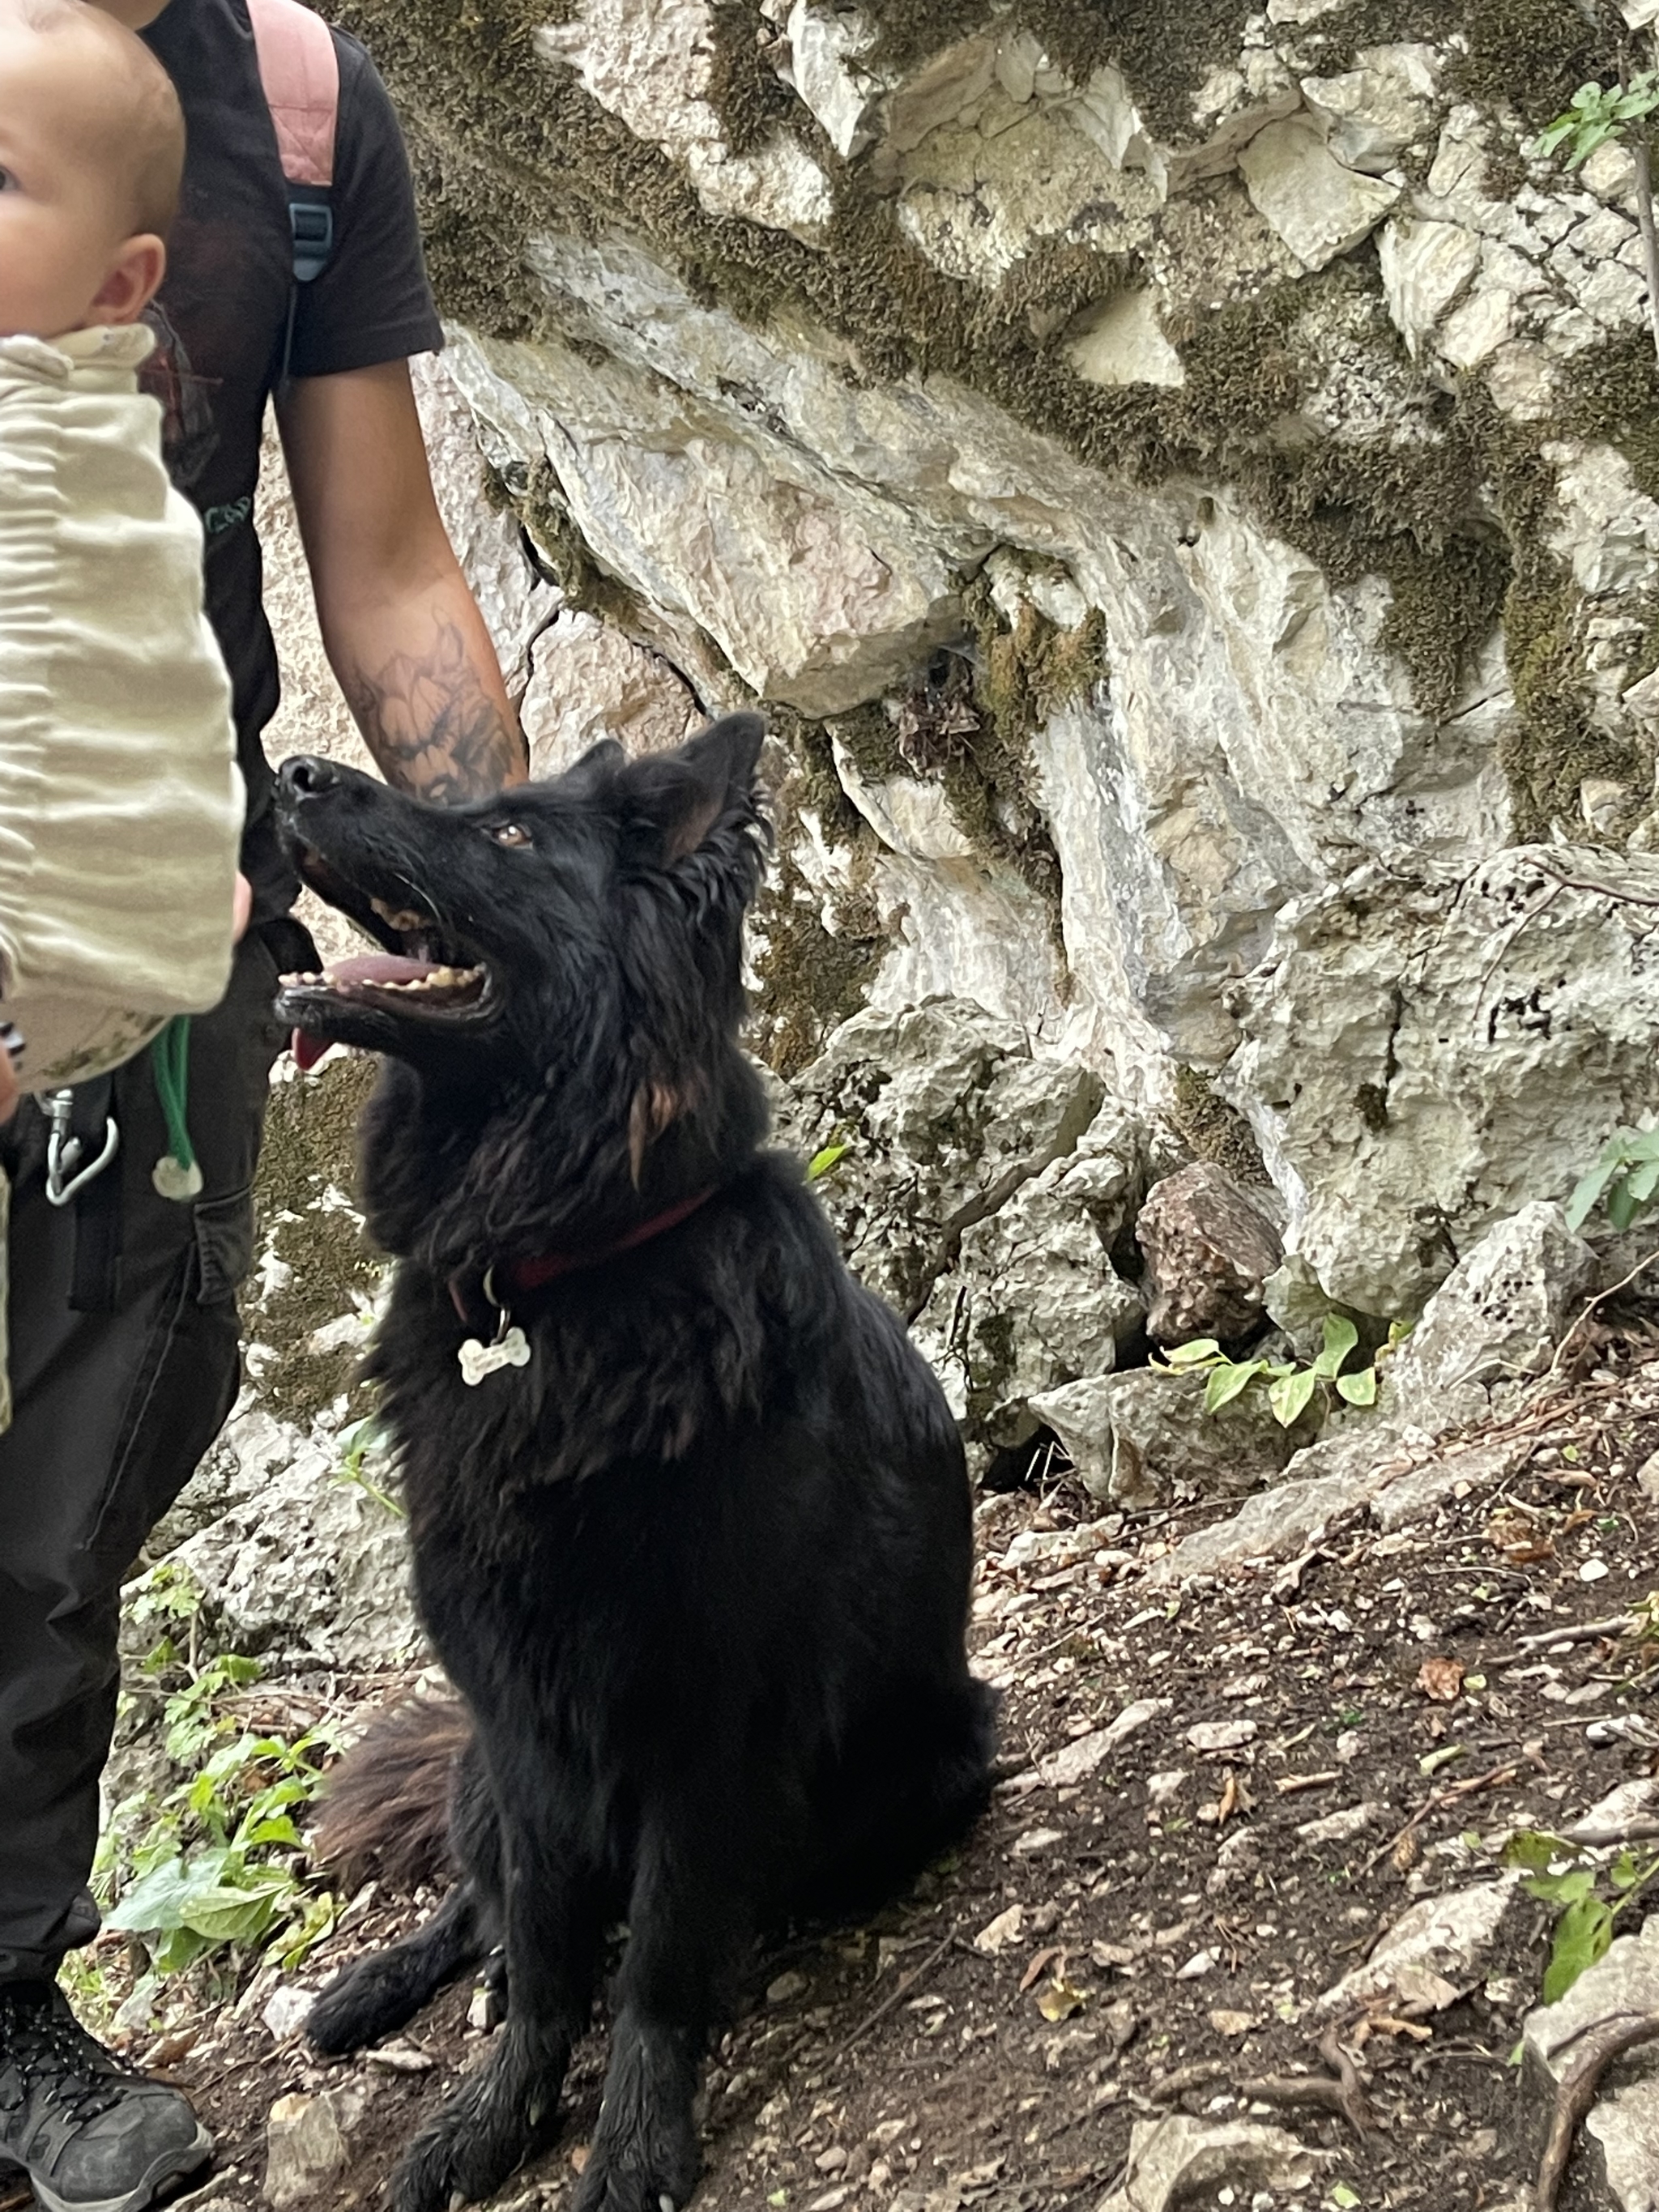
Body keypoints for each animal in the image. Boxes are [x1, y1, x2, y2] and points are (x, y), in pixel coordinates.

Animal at [276, 721, 1000, 2212]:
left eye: (506, 837)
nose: (294, 773)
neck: (559, 1266)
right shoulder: (519, 1711)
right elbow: (547, 1939)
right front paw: (494, 2111)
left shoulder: (703, 1718)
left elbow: (659, 1951)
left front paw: (632, 2138)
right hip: (484, 1764)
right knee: (477, 1898)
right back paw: (385, 1981)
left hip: (933, 1761)